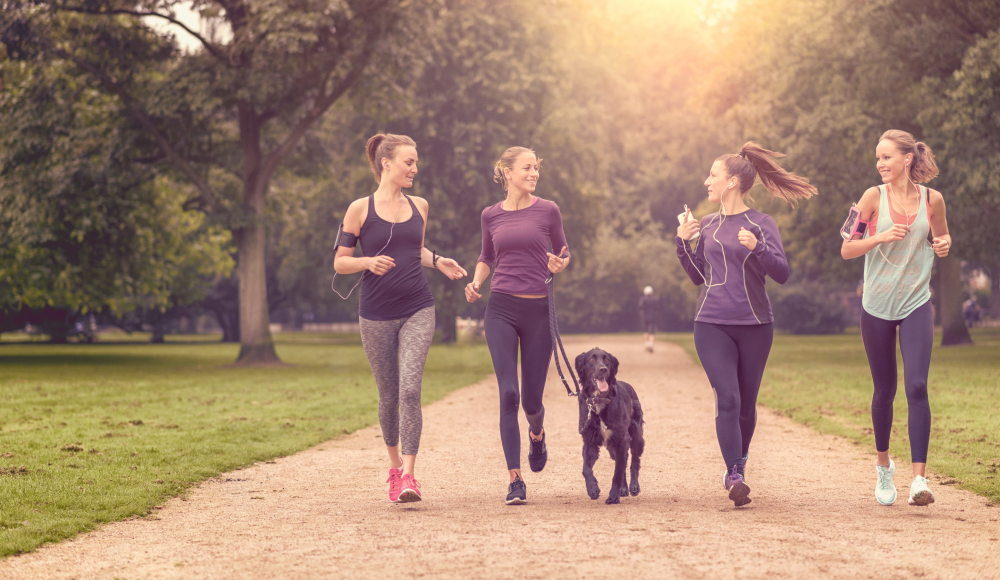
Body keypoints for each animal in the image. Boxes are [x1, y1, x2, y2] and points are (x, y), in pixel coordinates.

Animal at [576, 348, 644, 502]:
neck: (599, 400)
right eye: (591, 359)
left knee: (634, 461)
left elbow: (617, 472)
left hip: (635, 434)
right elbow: (586, 468)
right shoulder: (590, 439)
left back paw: (633, 486)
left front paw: (613, 496)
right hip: (612, 446)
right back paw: (623, 489)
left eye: (606, 359)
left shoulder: (622, 439)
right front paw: (593, 489)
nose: (603, 369)